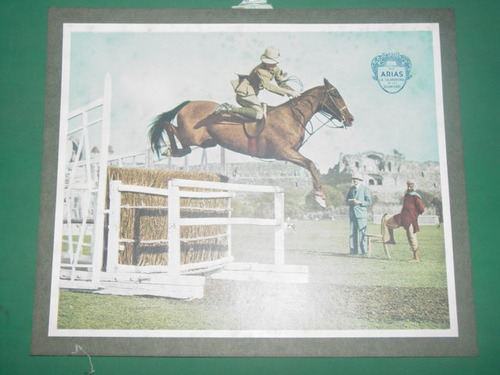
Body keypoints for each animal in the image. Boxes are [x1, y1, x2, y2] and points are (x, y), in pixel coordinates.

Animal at [146, 78, 354, 207]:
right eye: (335, 94)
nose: (350, 119)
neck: (293, 116)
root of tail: (189, 103)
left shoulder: (288, 154)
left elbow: (311, 165)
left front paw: (320, 195)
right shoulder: (283, 152)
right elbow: (311, 165)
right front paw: (320, 197)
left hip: (207, 142)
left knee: (182, 141)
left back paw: (173, 151)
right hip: (192, 136)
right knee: (170, 127)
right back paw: (170, 151)